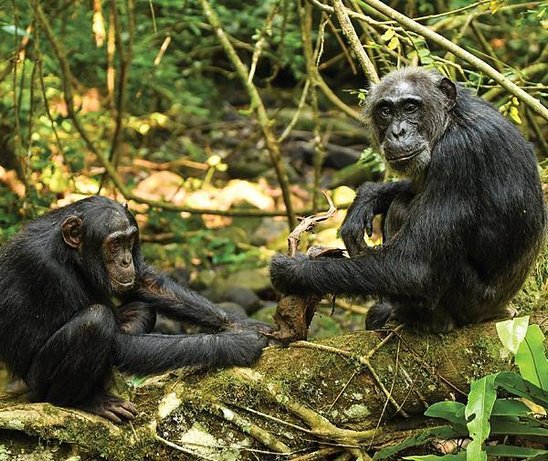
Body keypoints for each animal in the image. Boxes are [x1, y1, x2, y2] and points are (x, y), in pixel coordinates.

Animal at [0, 196, 270, 422]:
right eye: (114, 243)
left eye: (129, 241)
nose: (125, 260)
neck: (71, 254)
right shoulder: (48, 269)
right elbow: (116, 342)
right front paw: (235, 343)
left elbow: (143, 282)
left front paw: (243, 325)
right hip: (38, 383)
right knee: (95, 321)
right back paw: (87, 401)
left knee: (143, 309)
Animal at [272, 67, 544, 330]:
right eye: (386, 111)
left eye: (410, 108)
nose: (398, 131)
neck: (450, 122)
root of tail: (500, 312)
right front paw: (366, 200)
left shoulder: (458, 155)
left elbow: (414, 267)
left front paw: (294, 270)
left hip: (468, 303)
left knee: (402, 214)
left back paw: (421, 319)